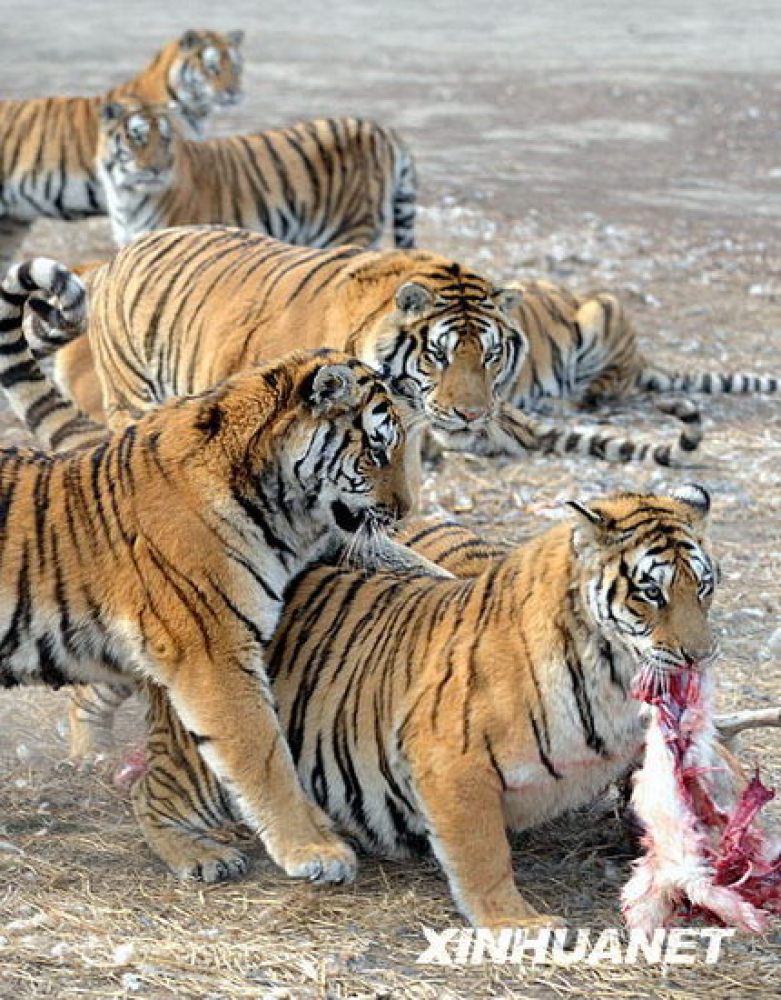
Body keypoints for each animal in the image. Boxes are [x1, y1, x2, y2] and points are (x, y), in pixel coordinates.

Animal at [0, 256, 441, 883]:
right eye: (377, 450)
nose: (405, 509)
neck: (281, 508)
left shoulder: (319, 544)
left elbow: (403, 556)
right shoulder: (212, 650)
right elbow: (261, 753)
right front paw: (315, 851)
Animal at [76, 483, 719, 926]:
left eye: (704, 585)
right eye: (650, 592)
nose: (700, 654)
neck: (611, 675)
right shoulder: (450, 763)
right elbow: (483, 853)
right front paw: (514, 923)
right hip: (213, 758)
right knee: (152, 794)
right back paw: (202, 855)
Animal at [96, 99, 417, 250]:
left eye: (164, 140)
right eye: (137, 137)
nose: (158, 168)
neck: (126, 196)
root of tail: (384, 130)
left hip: (349, 228)